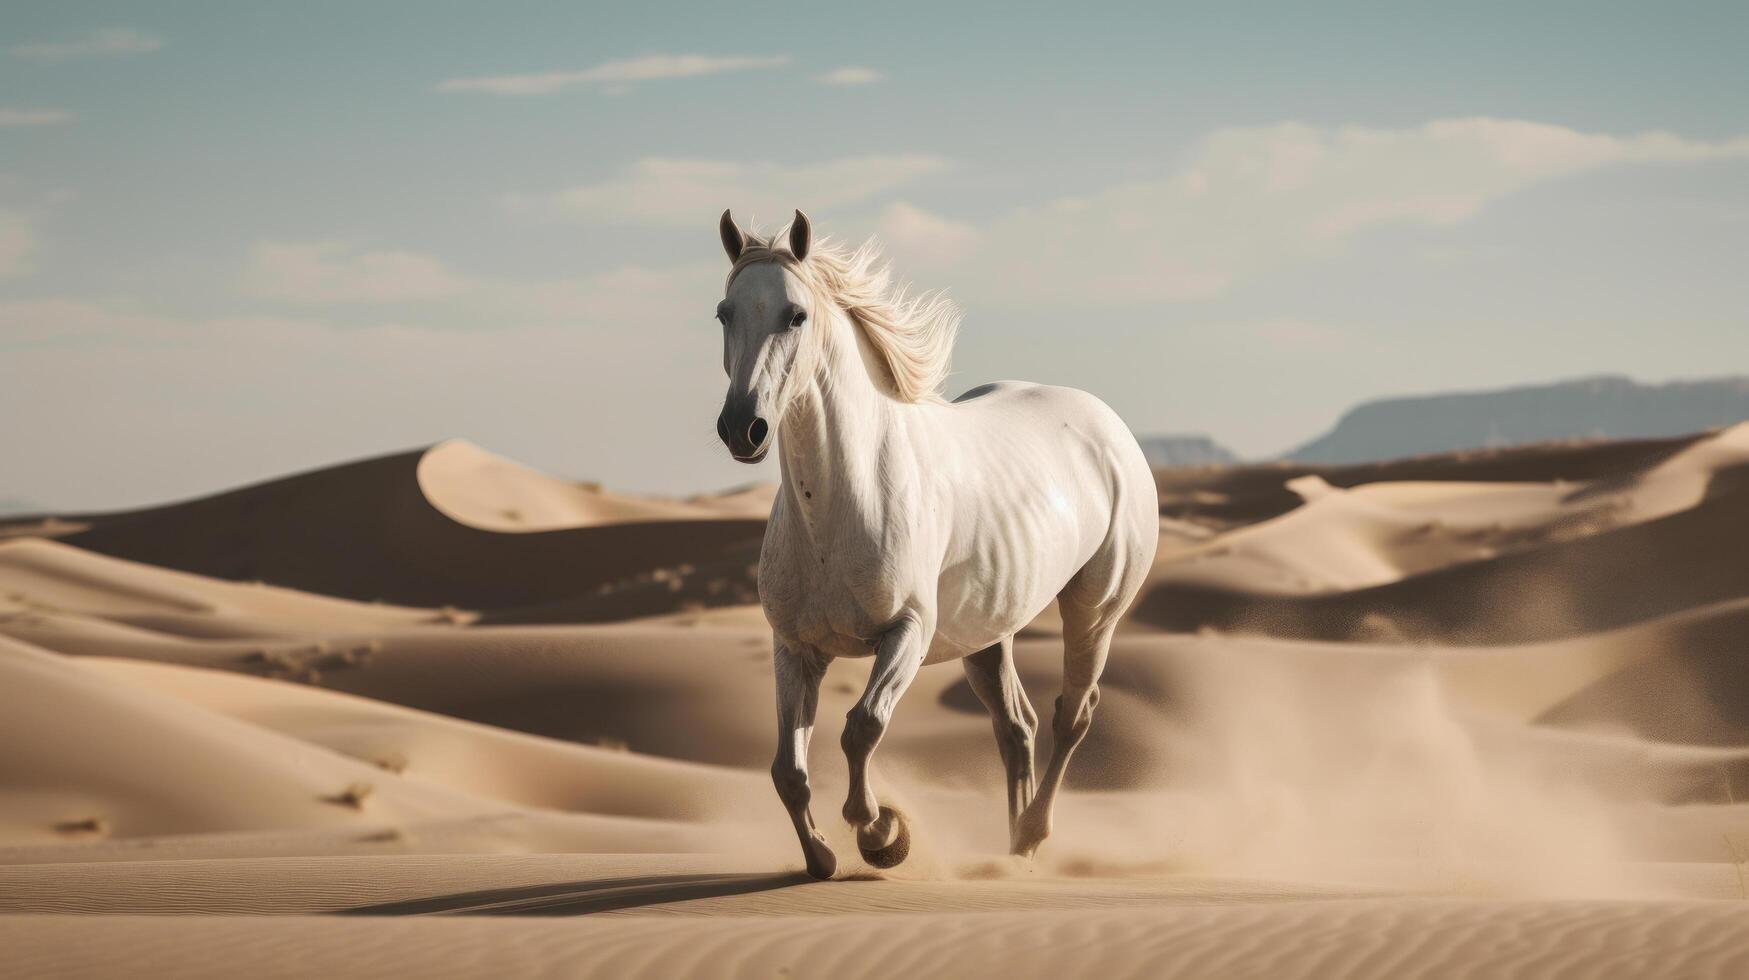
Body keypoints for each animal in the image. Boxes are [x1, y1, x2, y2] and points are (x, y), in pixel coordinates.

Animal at [713, 208, 1161, 882]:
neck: (836, 514)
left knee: (1071, 715)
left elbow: (862, 727)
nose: (744, 427)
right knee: (1017, 726)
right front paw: (821, 857)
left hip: (1094, 612)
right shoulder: (795, 648)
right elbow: (787, 770)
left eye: (796, 315)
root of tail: (1110, 427)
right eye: (724, 312)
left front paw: (882, 835)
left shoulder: (907, 632)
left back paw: (1031, 836)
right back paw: (1010, 845)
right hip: (986, 633)